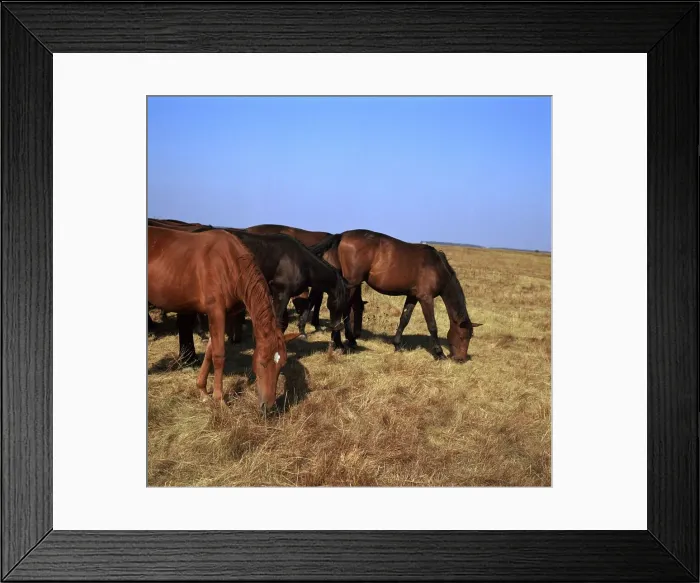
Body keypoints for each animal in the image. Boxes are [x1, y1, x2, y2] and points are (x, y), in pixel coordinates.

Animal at [148, 226, 298, 411]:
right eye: (262, 362)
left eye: (281, 364)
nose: (268, 408)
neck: (229, 263)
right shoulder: (216, 311)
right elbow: (219, 355)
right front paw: (219, 400)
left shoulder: (223, 314)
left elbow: (210, 352)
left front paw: (203, 392)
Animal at [311, 229, 481, 361]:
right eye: (463, 336)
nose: (460, 359)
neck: (436, 267)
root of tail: (342, 235)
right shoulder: (426, 298)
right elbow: (432, 325)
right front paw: (439, 353)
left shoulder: (413, 296)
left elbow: (404, 319)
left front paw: (397, 345)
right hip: (352, 283)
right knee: (342, 309)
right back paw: (342, 343)